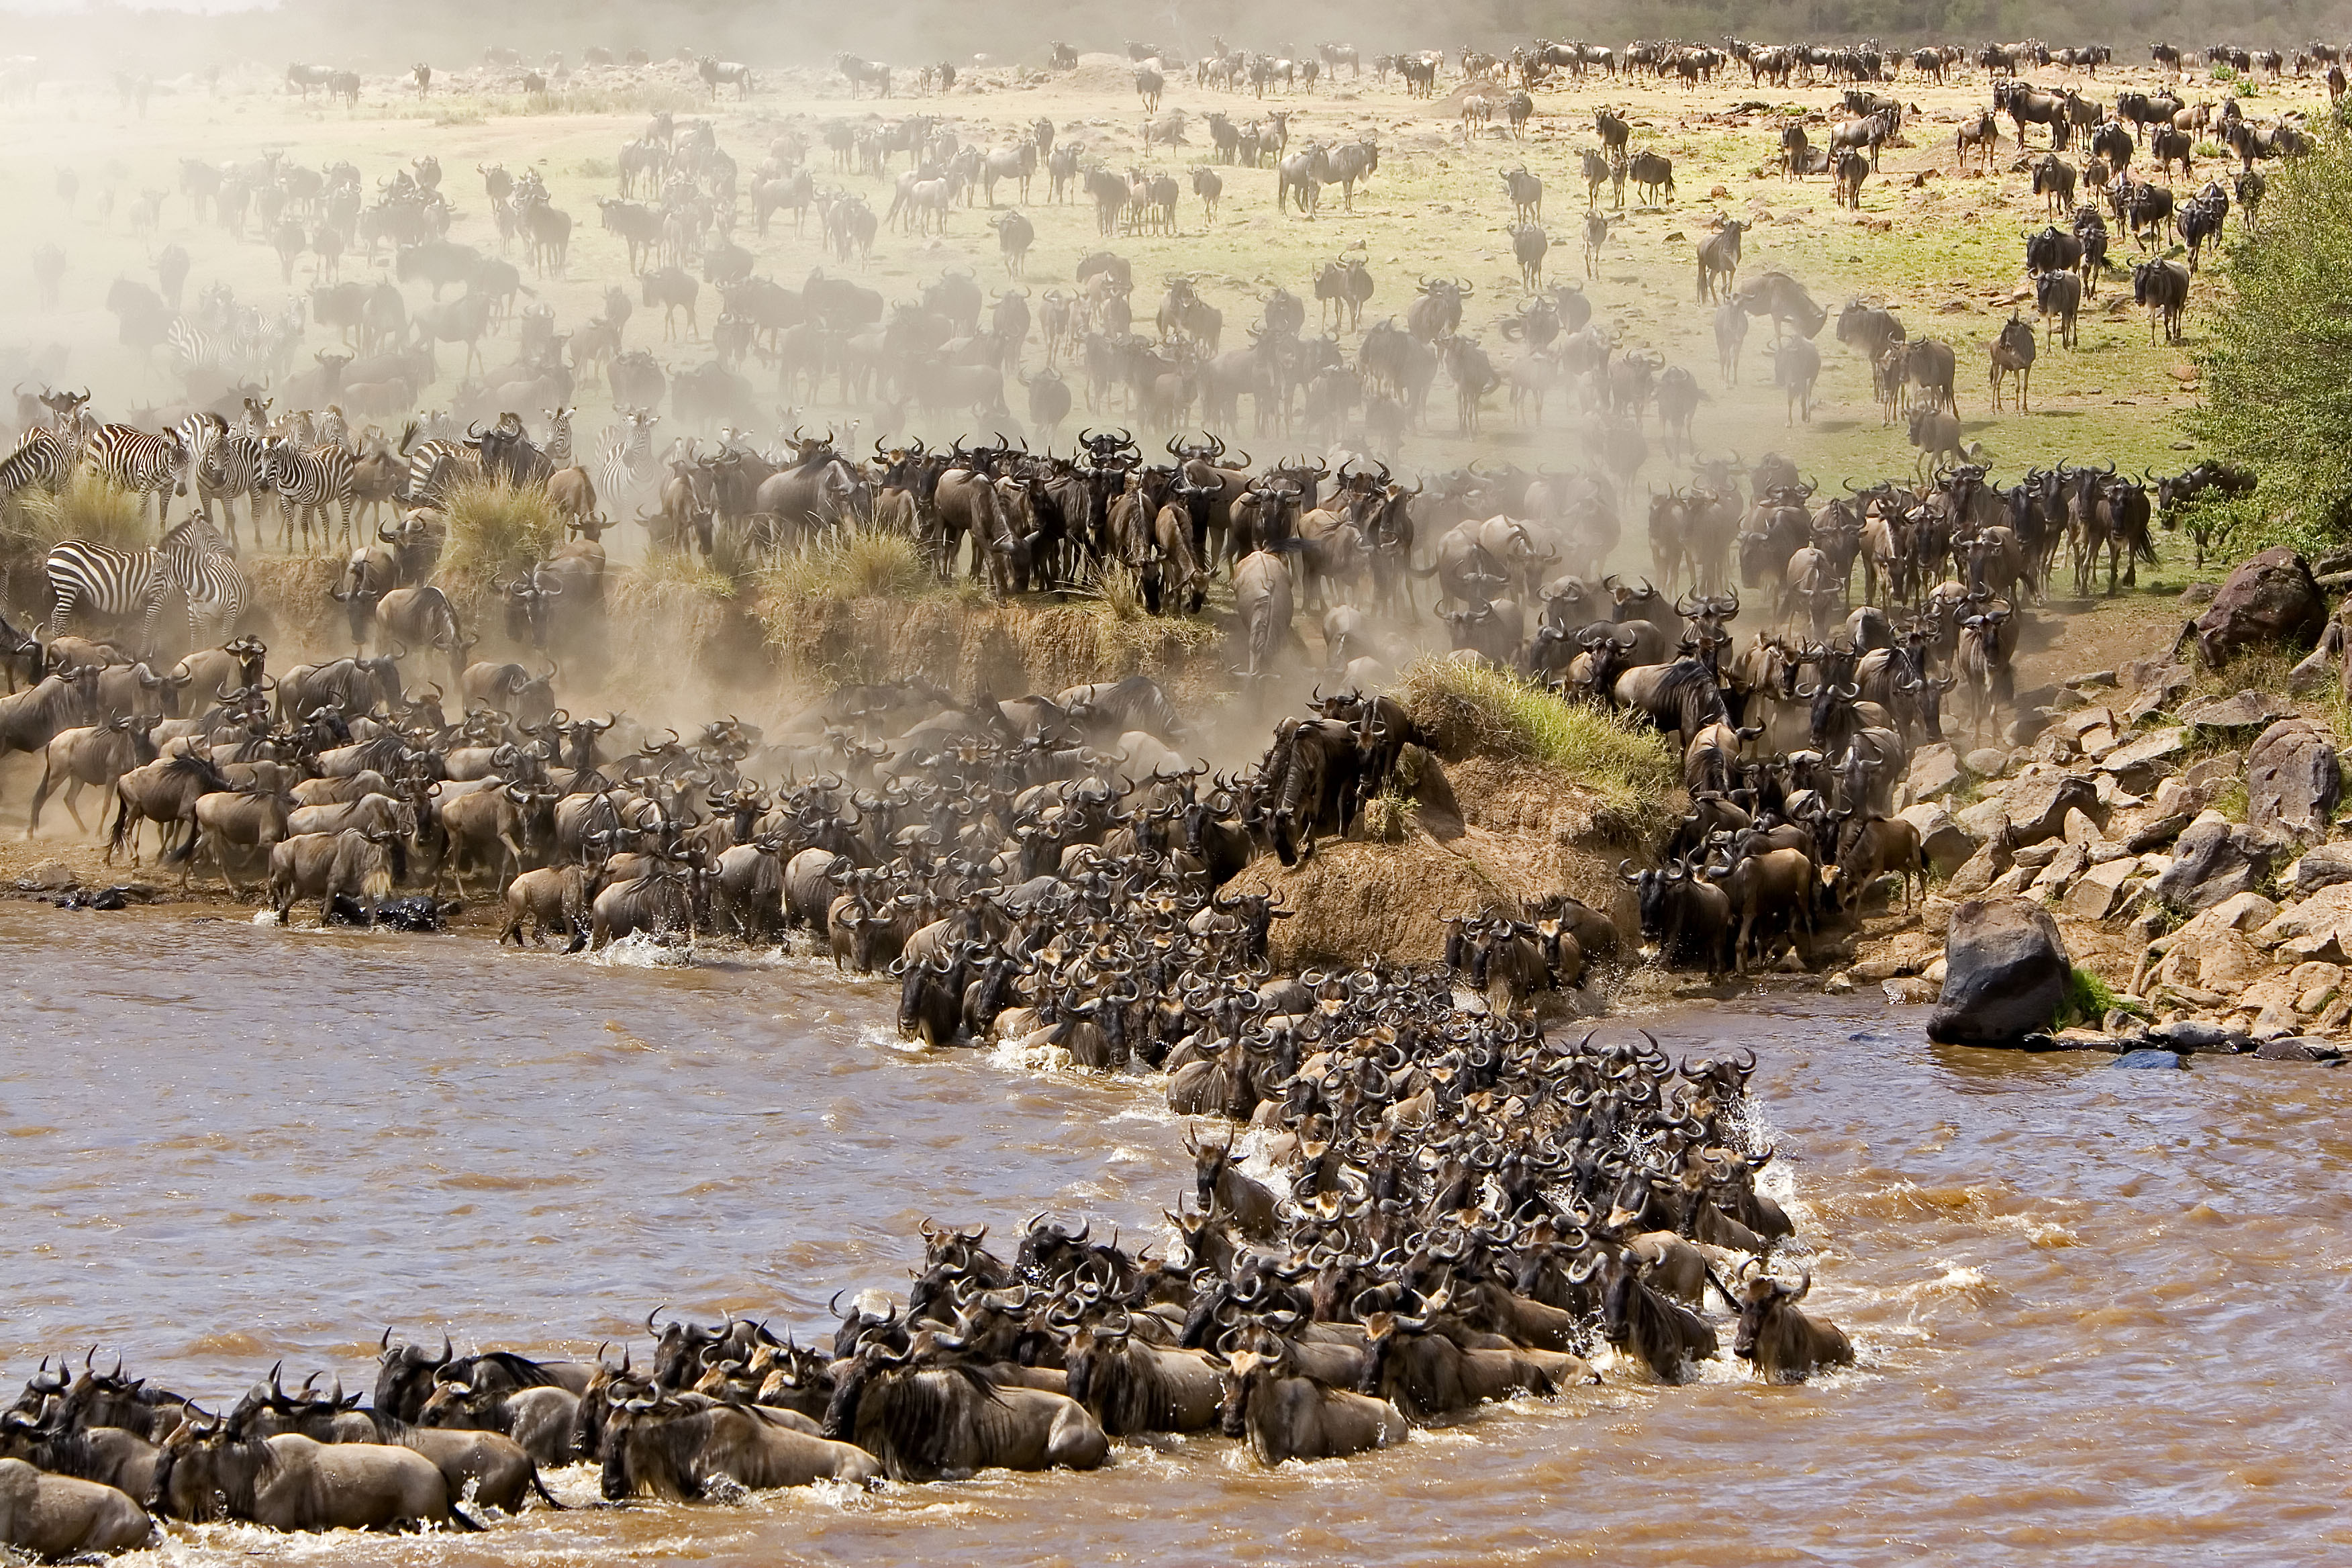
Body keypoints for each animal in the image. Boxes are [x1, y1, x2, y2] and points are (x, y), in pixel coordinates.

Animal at [43, 517, 243, 653]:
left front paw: (159, 650)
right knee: (59, 617)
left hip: (66, 588)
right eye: (213, 536)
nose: (234, 555)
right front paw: (143, 654)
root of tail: (55, 549)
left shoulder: (160, 601)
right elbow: (148, 628)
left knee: (55, 615)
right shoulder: (155, 601)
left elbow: (159, 626)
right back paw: (60, 644)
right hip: (67, 585)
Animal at [81, 423, 193, 534]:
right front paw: (142, 533)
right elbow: (142, 513)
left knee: (112, 499)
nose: (181, 491)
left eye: (187, 463)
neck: (164, 470)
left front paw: (162, 535)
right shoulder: (145, 488)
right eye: (171, 463)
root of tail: (105, 426)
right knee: (93, 492)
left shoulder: (167, 490)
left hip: (117, 481)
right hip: (95, 469)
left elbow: (163, 516)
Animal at [260, 439, 355, 554]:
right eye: (261, 461)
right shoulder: (286, 500)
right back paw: (327, 548)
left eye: (274, 462)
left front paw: (306, 549)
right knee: (326, 520)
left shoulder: (305, 501)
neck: (286, 479)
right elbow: (289, 525)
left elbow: (304, 525)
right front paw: (289, 549)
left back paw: (349, 549)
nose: (262, 486)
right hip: (322, 497)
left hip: (344, 491)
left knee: (346, 521)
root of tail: (336, 446)